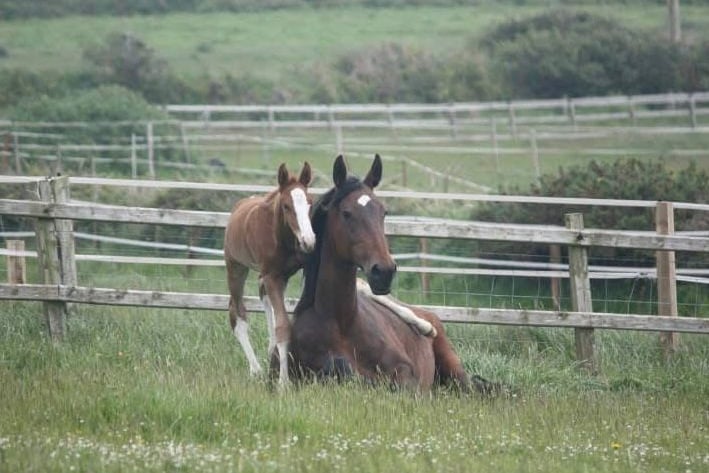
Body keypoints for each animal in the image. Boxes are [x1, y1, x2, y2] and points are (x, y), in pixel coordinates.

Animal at [224, 161, 316, 387]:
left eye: (310, 204)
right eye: (286, 206)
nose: (308, 241)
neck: (281, 236)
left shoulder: (289, 273)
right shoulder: (272, 276)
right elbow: (282, 325)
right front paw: (284, 382)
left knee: (262, 296)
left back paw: (269, 351)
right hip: (236, 267)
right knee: (237, 312)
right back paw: (255, 369)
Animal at [289, 154, 496, 393]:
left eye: (383, 212)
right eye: (346, 213)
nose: (384, 271)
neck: (341, 322)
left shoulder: (405, 372)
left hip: (456, 372)